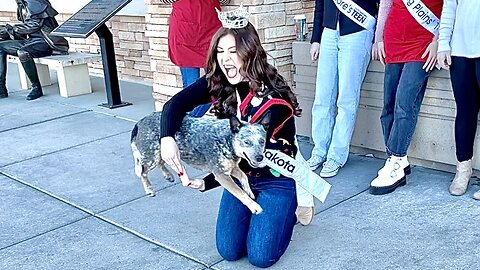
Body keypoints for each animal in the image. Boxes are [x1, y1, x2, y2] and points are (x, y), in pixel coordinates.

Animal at [129, 111, 270, 213]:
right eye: (247, 142)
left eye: (262, 141)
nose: (259, 157)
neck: (226, 139)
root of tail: (140, 122)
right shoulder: (221, 174)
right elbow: (240, 193)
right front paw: (253, 206)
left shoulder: (231, 167)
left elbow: (244, 176)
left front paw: (249, 191)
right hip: (151, 156)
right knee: (143, 172)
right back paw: (149, 188)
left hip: (160, 153)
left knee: (161, 162)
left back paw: (168, 175)